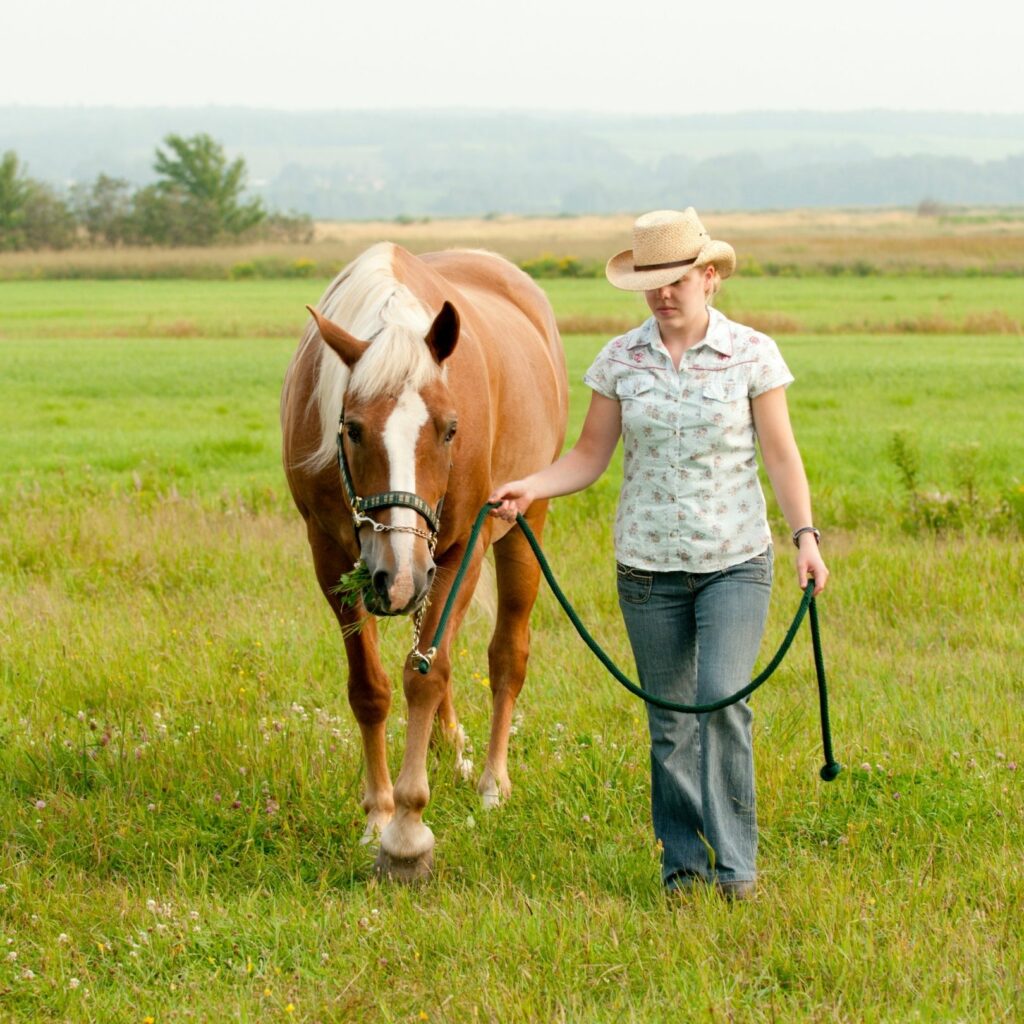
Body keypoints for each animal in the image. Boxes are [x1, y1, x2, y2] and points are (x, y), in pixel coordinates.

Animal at [280, 241, 569, 880]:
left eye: (450, 429)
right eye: (352, 427)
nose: (398, 577)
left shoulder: (460, 551)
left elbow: (426, 676)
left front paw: (408, 833)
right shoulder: (330, 557)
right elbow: (373, 687)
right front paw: (378, 815)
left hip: (519, 526)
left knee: (506, 656)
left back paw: (491, 783)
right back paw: (449, 748)